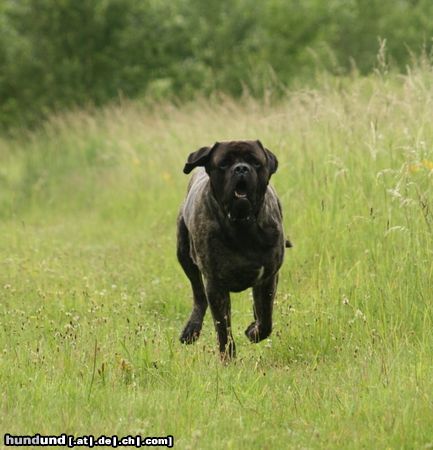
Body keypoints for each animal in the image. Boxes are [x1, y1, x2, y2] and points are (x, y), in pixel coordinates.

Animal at [177, 140, 288, 358]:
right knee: (198, 295)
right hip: (184, 253)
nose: (241, 168)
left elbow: (265, 318)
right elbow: (223, 329)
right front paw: (228, 358)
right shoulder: (215, 285)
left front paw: (253, 331)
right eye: (224, 163)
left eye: (255, 162)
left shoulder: (268, 277)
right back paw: (191, 330)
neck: (241, 224)